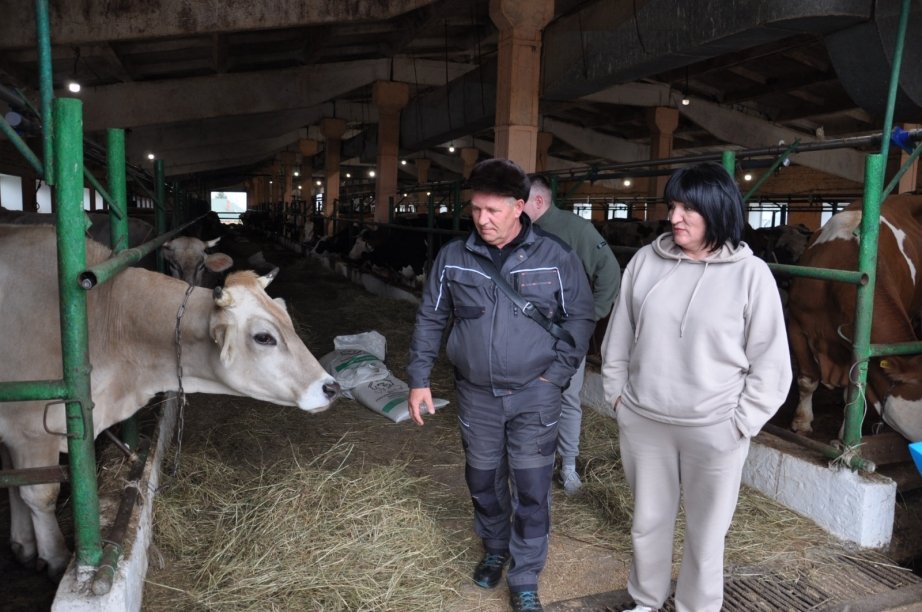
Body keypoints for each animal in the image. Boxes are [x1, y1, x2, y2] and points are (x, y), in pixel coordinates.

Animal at [0, 226, 338, 580]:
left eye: (287, 319)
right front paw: (54, 556)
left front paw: (25, 546)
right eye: (263, 337)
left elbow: (16, 483)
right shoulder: (31, 431)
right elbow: (39, 493)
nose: (330, 386)